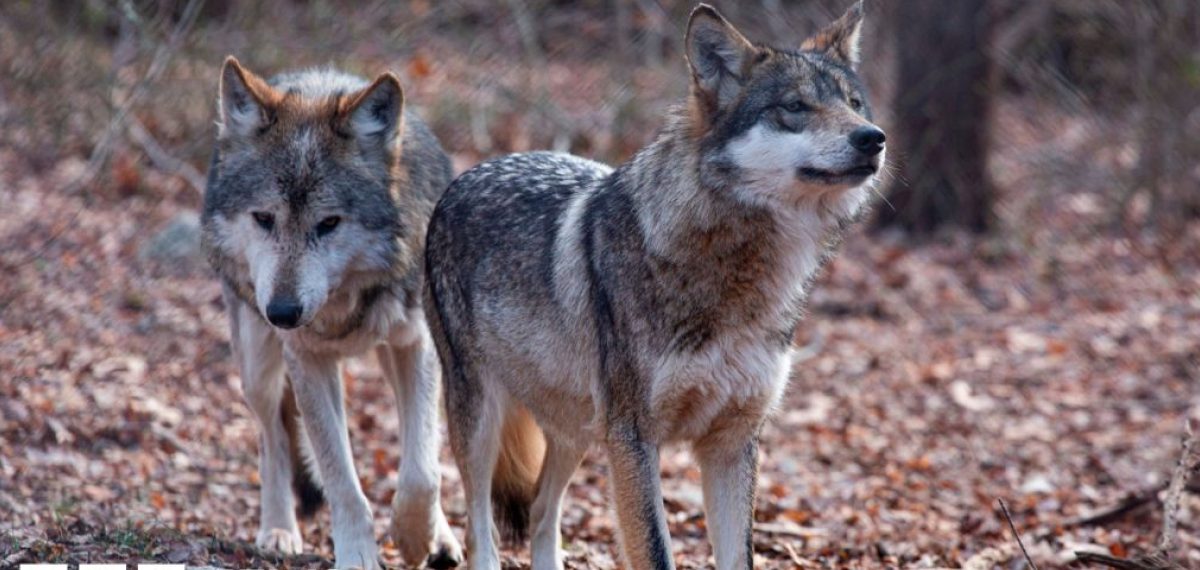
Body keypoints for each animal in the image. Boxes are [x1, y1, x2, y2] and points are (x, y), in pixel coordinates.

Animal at [201, 57, 463, 570]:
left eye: (328, 224)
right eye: (264, 219)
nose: (283, 312)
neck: (342, 303)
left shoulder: (416, 344)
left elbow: (422, 471)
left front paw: (414, 538)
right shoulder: (307, 358)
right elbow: (341, 480)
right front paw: (358, 555)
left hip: (393, 356)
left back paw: (439, 537)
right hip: (258, 366)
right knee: (273, 441)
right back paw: (278, 529)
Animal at [423, 3, 883, 569]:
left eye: (854, 104)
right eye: (795, 107)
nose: (873, 137)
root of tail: (470, 172)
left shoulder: (733, 443)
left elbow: (740, 555)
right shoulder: (634, 438)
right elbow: (655, 550)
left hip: (576, 430)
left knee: (540, 512)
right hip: (482, 421)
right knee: (479, 528)